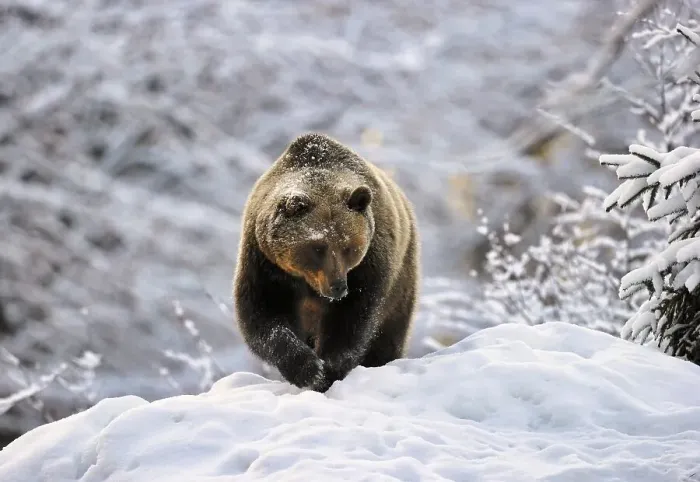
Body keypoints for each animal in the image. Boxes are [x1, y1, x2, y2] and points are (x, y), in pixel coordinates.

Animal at [233, 132, 420, 392]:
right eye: (317, 247)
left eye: (349, 247)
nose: (337, 286)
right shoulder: (265, 263)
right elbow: (263, 316)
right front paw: (307, 369)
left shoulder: (369, 266)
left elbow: (352, 320)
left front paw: (329, 370)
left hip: (401, 281)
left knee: (389, 334)